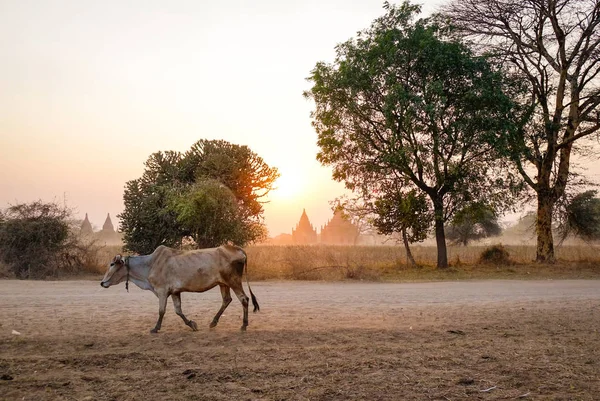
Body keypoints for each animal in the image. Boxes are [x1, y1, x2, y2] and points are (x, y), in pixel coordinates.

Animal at [99, 244, 258, 332]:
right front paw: (192, 324)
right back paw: (213, 322)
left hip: (233, 281)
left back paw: (244, 325)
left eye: (112, 264)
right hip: (223, 284)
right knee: (227, 300)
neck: (150, 265)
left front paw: (155, 328)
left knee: (244, 299)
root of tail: (236, 249)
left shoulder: (162, 291)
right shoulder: (175, 292)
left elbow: (161, 311)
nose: (102, 283)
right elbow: (178, 311)